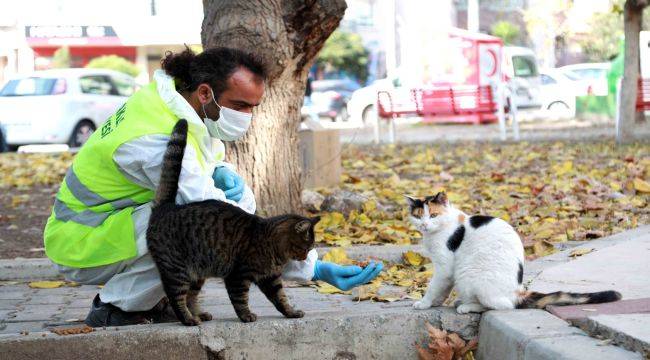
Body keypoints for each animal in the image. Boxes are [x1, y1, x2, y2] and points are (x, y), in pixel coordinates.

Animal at [147, 119, 318, 324]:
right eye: (306, 247)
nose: (304, 257)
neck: (272, 246)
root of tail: (166, 206)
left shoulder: (271, 279)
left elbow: (281, 298)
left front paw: (291, 312)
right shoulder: (238, 275)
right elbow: (240, 299)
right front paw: (246, 315)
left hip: (197, 274)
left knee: (191, 296)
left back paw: (198, 314)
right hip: (177, 271)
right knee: (176, 297)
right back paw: (188, 319)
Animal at [404, 193, 616, 314]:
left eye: (433, 215)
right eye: (418, 216)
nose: (424, 225)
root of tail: (518, 292)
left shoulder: (445, 267)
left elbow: (434, 286)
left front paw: (425, 303)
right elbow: (442, 289)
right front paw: (437, 303)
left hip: (468, 274)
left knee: (504, 305)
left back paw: (467, 306)